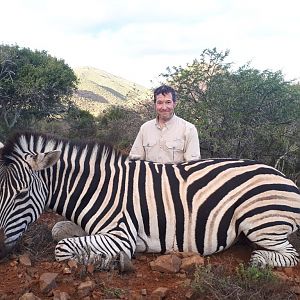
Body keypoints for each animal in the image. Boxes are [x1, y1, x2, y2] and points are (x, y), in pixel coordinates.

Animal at [0, 132, 298, 268]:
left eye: (21, 194)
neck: (97, 188)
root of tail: (283, 175)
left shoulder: (122, 235)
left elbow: (62, 248)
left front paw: (104, 260)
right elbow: (58, 231)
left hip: (260, 222)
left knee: (288, 254)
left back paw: (260, 258)